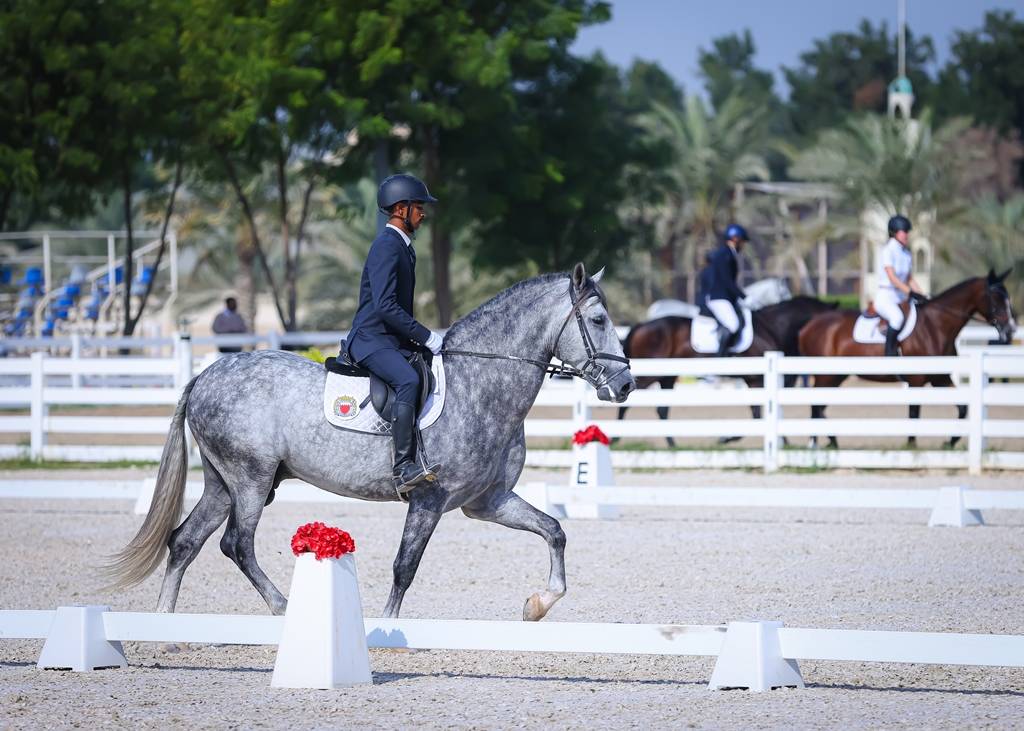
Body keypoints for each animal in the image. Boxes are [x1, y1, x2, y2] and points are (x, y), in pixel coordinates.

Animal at [103, 264, 630, 622]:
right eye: (599, 320)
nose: (625, 385)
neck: (480, 381)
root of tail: (204, 375)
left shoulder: (486, 501)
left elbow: (554, 530)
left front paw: (538, 604)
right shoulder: (429, 500)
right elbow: (404, 567)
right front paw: (388, 629)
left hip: (222, 483)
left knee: (185, 542)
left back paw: (167, 626)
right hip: (249, 478)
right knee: (237, 544)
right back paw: (283, 607)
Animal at [614, 294, 839, 444]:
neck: (770, 328)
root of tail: (641, 325)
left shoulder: (756, 380)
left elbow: (761, 412)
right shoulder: (756, 379)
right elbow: (758, 414)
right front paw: (729, 438)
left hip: (668, 377)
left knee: (662, 409)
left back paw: (671, 444)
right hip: (650, 375)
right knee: (626, 403)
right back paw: (617, 438)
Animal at [798, 270, 1015, 446]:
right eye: (996, 298)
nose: (1011, 329)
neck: (935, 326)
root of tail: (809, 325)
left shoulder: (940, 378)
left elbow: (962, 408)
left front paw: (951, 442)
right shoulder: (916, 380)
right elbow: (913, 414)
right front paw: (911, 446)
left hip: (836, 376)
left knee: (820, 407)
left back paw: (831, 441)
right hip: (825, 376)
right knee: (816, 406)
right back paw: (815, 443)